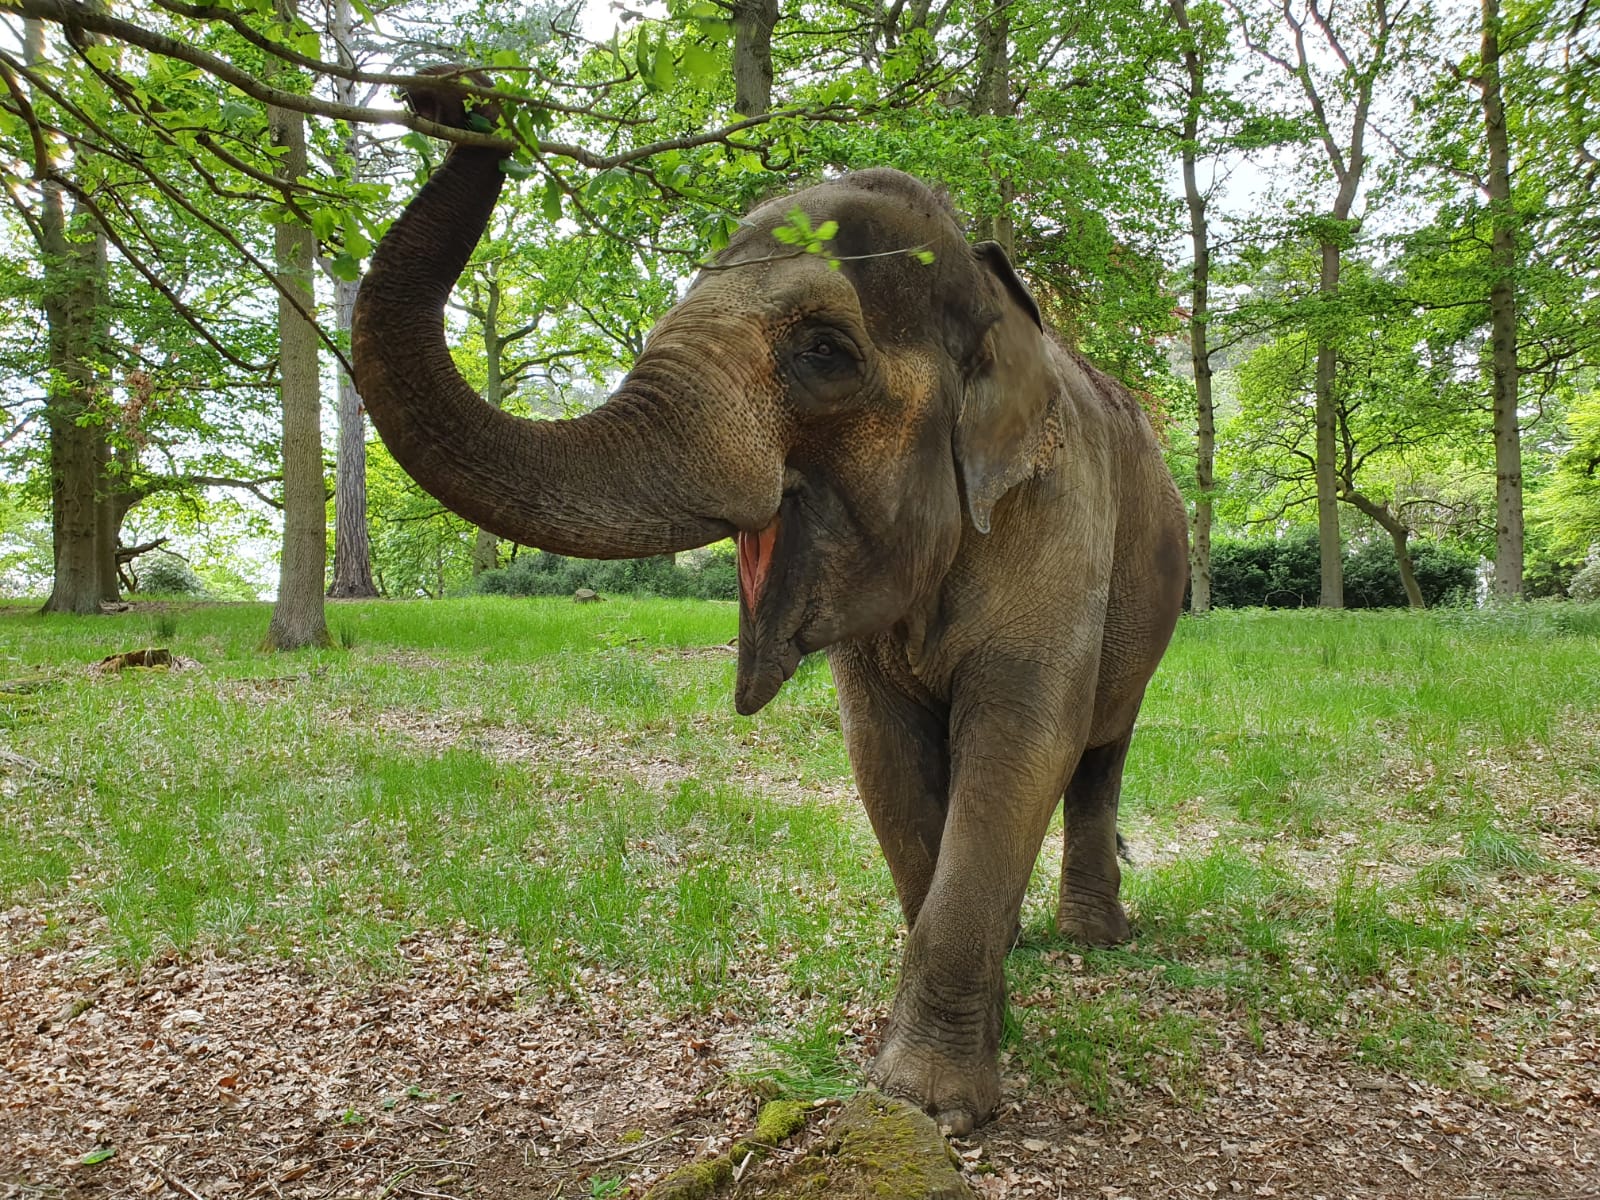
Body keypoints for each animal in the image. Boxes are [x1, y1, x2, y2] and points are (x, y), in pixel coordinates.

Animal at [360, 75, 1190, 1139]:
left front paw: (931, 1103)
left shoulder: (1058, 514)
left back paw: (1094, 939)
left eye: (825, 352)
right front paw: (980, 1025)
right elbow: (885, 759)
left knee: (1100, 744)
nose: (455, 95)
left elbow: (1024, 736)